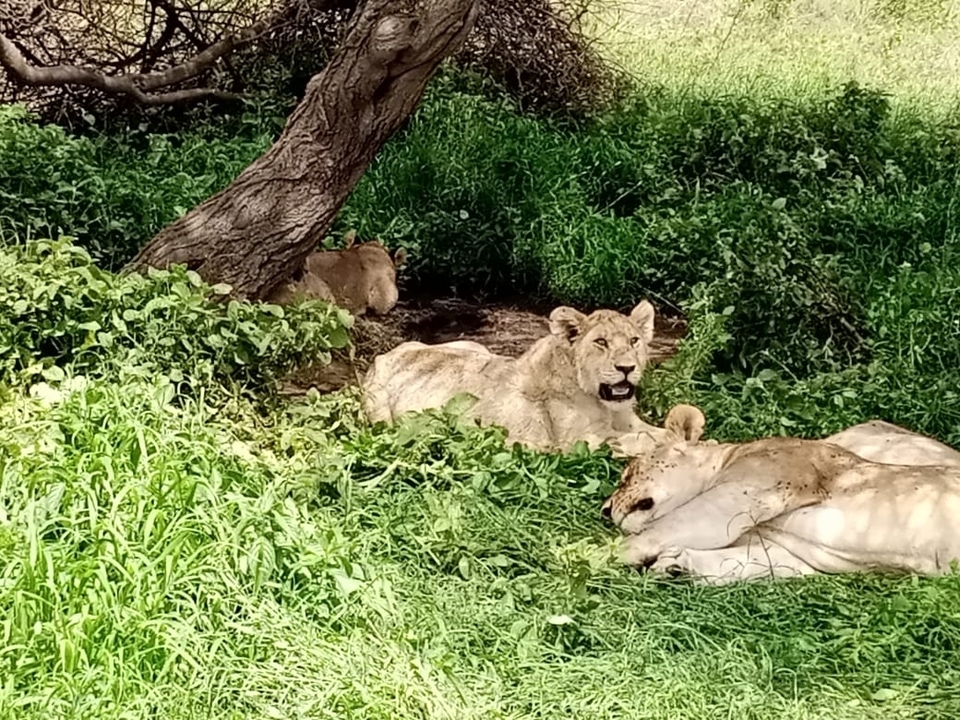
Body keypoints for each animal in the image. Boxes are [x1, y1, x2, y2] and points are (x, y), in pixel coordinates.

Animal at [362, 299, 703, 455]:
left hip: (471, 344)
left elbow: (652, 431)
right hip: (380, 416)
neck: (605, 405)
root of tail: (382, 358)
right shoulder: (579, 443)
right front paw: (682, 441)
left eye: (634, 341)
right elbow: (645, 440)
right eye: (601, 342)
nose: (627, 368)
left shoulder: (628, 421)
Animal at [601, 414, 960, 583]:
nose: (605, 510)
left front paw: (594, 556)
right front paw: (676, 567)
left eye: (627, 475)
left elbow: (663, 529)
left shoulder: (748, 490)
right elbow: (739, 563)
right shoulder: (787, 553)